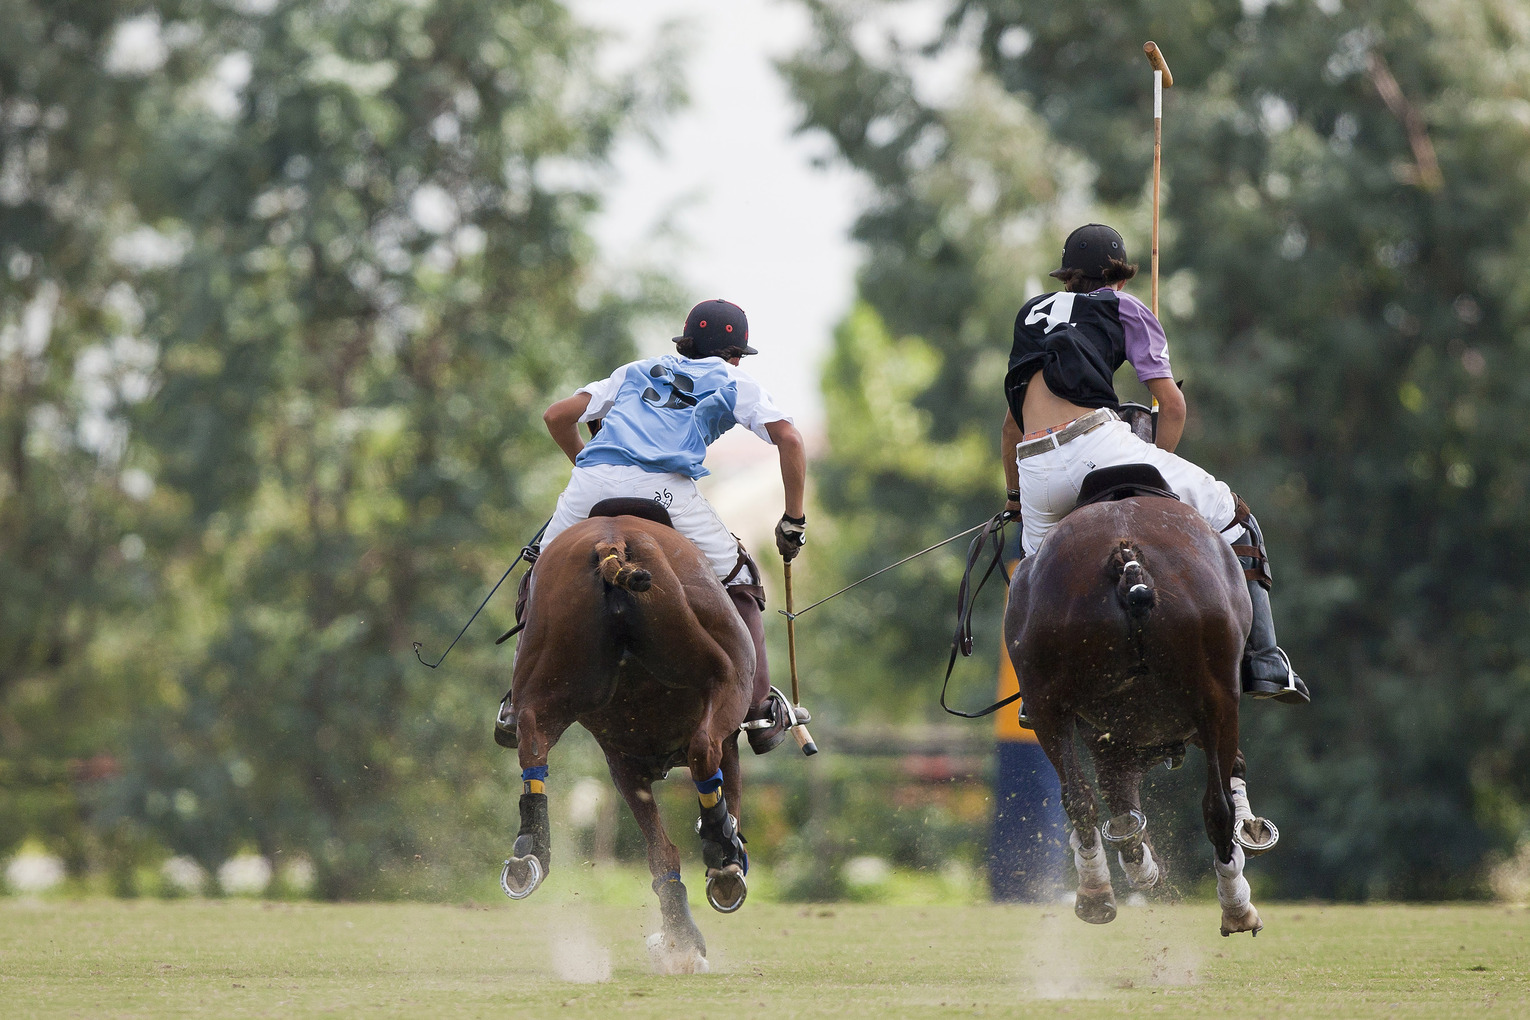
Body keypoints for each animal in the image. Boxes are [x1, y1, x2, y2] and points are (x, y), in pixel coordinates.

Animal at [498, 498, 755, 978]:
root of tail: (611, 540)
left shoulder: (621, 761)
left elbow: (660, 852)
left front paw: (679, 940)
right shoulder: (721, 745)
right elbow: (719, 799)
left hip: (547, 676)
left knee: (531, 737)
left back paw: (530, 853)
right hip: (728, 676)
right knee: (703, 748)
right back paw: (722, 853)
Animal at [1003, 409, 1279, 935]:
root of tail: (1127, 557)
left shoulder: (1113, 736)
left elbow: (1121, 810)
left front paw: (1140, 864)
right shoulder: (1191, 717)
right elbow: (1226, 773)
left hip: (1049, 705)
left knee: (1079, 799)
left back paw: (1097, 896)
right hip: (1213, 697)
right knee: (1215, 806)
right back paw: (1235, 908)